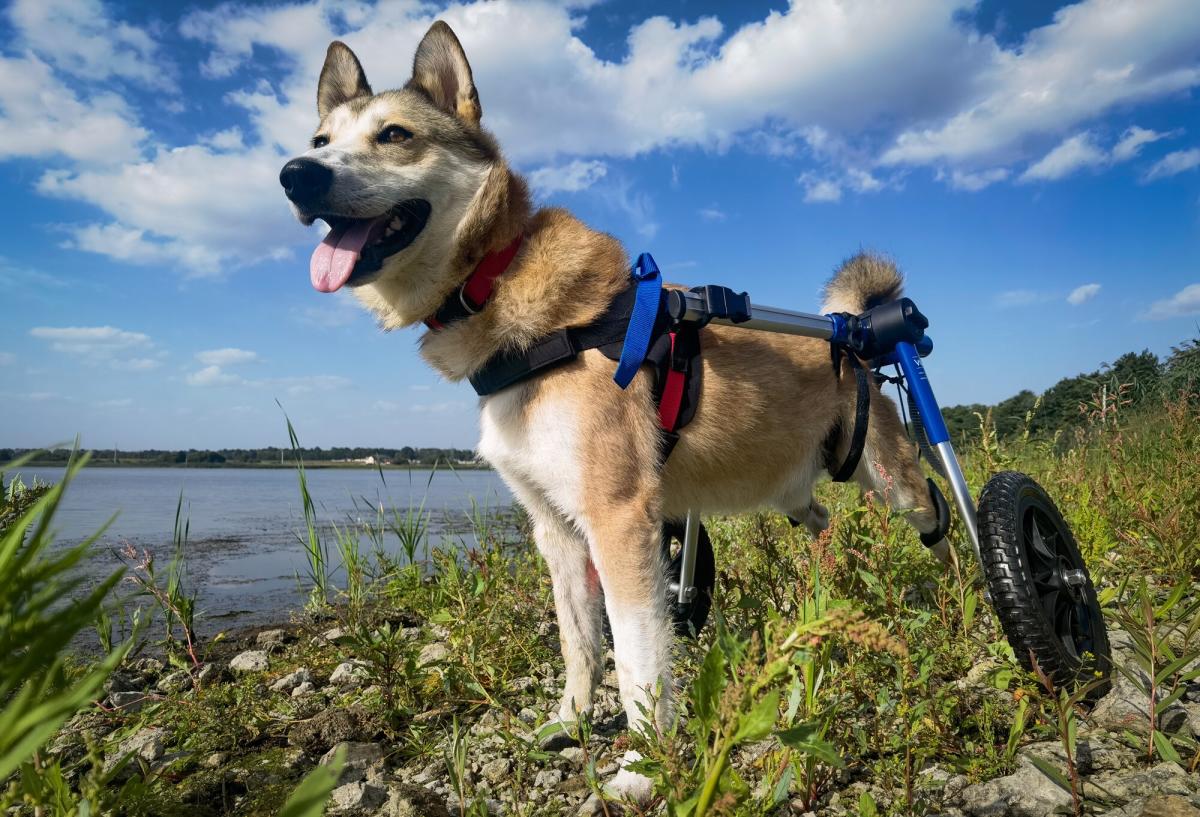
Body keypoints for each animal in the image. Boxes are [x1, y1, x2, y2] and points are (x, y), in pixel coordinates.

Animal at [280, 20, 945, 801]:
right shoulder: (557, 529)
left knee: (938, 519)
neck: (498, 285)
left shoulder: (619, 518)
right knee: (824, 525)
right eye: (321, 139)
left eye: (394, 134)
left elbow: (637, 658)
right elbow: (580, 643)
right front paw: (569, 723)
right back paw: (826, 590)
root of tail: (851, 336)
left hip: (895, 480)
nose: (295, 174)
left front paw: (642, 766)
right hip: (790, 489)